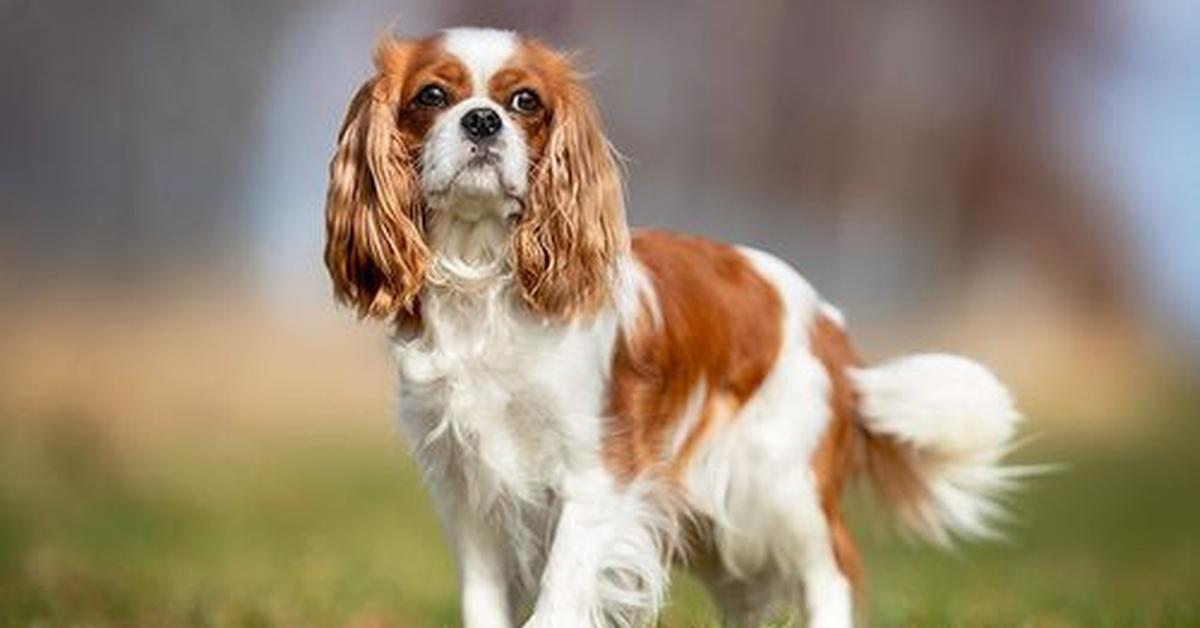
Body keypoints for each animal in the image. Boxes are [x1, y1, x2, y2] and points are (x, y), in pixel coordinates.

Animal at [324, 27, 1027, 624]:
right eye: (432, 97)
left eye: (525, 102)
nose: (481, 120)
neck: (483, 282)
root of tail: (826, 319)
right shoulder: (468, 490)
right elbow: (483, 600)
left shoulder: (597, 473)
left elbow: (558, 594)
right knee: (747, 599)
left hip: (778, 488)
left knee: (829, 572)